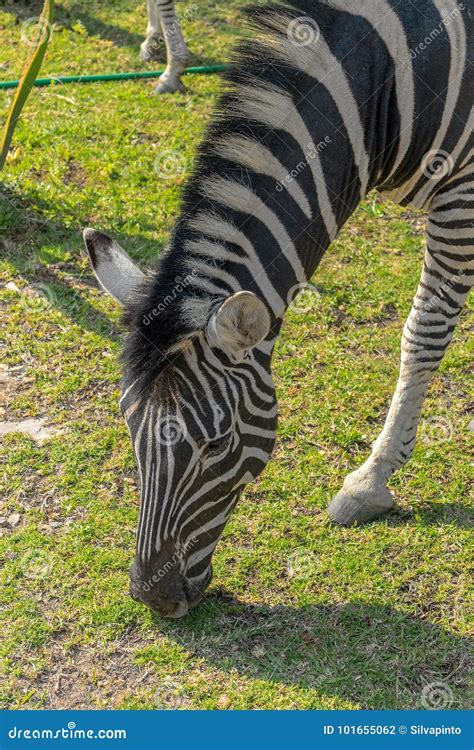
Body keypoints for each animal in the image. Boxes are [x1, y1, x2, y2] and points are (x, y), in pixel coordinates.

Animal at [83, 1, 472, 624]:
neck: (385, 78)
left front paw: (371, 482)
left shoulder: (461, 194)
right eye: (130, 428)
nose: (153, 598)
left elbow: (424, 335)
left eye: (216, 445)